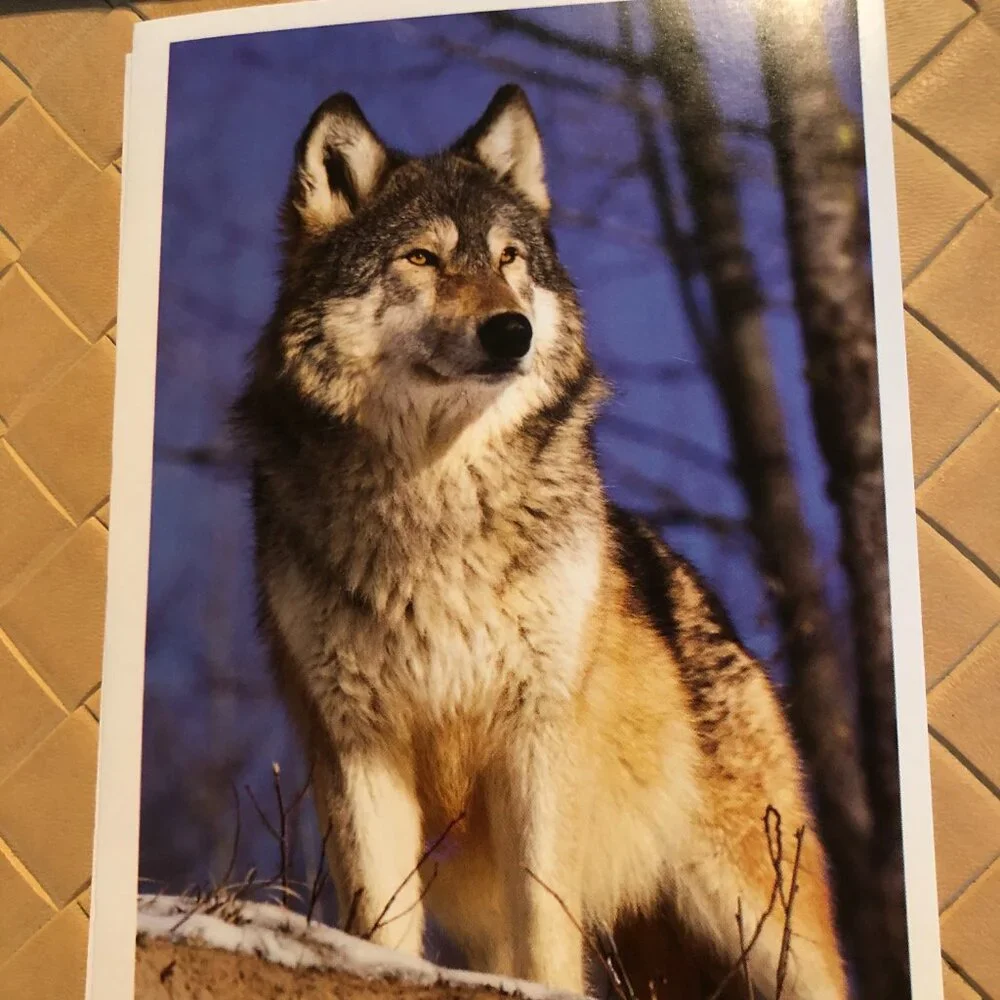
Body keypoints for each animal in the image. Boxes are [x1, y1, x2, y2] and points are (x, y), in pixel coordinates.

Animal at [234, 84, 849, 999]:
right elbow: (383, 923)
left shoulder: (536, 739)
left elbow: (548, 923)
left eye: (511, 257)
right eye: (421, 258)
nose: (511, 330)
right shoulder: (356, 744)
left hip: (770, 923)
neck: (438, 500)